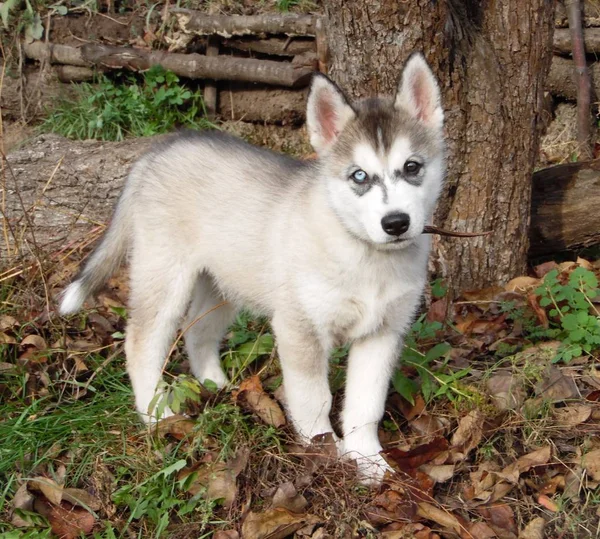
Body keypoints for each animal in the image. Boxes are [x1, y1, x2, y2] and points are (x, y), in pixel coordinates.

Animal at [61, 52, 446, 484]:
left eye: (412, 167)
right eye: (359, 176)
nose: (395, 223)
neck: (366, 256)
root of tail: (158, 150)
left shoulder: (383, 332)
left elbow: (366, 405)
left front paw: (368, 461)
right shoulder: (299, 327)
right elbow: (314, 398)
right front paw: (325, 453)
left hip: (223, 284)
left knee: (197, 330)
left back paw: (217, 385)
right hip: (164, 276)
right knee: (142, 343)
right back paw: (156, 415)